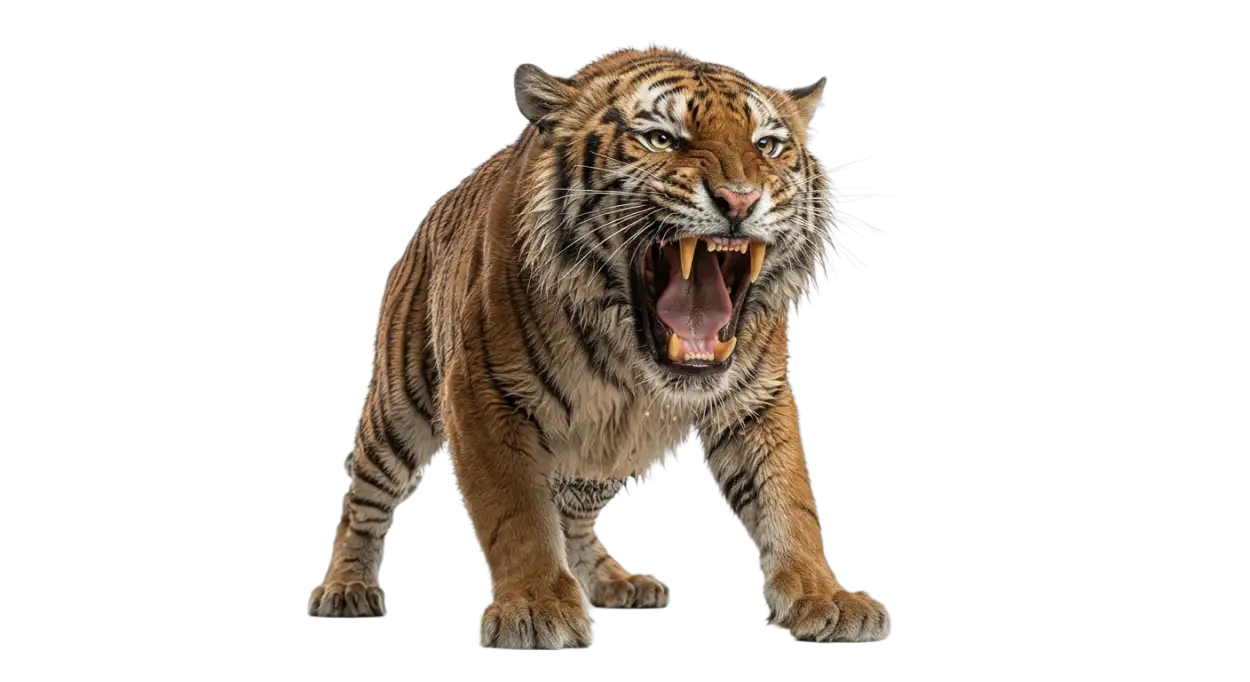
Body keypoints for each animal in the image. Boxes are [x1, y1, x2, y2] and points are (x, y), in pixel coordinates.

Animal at [305, 42, 892, 649]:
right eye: (661, 138)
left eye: (767, 146)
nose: (740, 199)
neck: (634, 359)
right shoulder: (480, 395)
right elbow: (516, 512)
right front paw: (536, 606)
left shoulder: (755, 401)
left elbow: (788, 501)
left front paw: (826, 597)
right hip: (397, 408)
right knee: (364, 499)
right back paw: (346, 588)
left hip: (592, 465)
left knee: (575, 520)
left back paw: (617, 580)